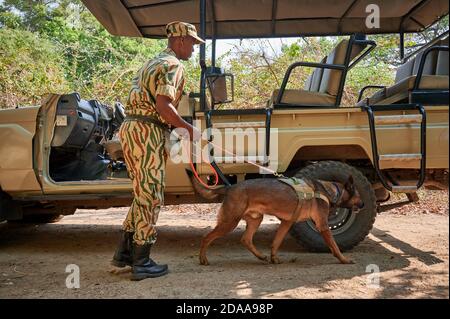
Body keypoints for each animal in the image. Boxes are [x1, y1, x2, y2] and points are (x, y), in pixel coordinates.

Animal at [185, 172, 364, 268]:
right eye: (358, 195)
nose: (363, 204)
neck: (331, 191)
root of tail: (230, 187)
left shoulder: (286, 222)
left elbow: (276, 242)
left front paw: (273, 258)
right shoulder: (323, 226)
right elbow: (335, 246)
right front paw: (344, 259)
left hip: (256, 219)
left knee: (246, 239)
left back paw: (261, 257)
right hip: (230, 222)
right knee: (207, 237)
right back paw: (203, 259)